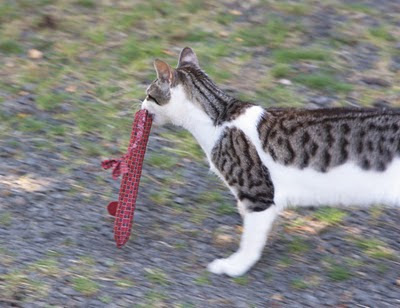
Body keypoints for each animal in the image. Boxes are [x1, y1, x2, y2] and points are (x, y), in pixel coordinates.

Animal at [141, 47, 400, 278]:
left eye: (149, 94)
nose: (141, 105)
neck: (220, 117)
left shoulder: (259, 196)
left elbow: (250, 240)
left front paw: (235, 266)